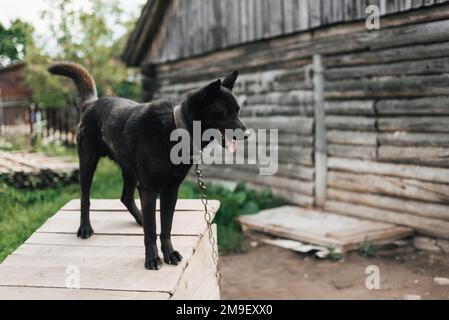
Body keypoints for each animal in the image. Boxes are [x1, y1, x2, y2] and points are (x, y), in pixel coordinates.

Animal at [48, 61, 248, 268]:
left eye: (237, 111)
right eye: (224, 112)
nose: (247, 134)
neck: (175, 129)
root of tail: (92, 103)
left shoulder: (171, 190)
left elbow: (166, 227)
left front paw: (169, 253)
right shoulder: (150, 190)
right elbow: (152, 231)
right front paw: (152, 258)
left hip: (129, 170)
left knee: (126, 197)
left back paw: (141, 219)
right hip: (88, 165)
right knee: (85, 198)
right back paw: (85, 228)